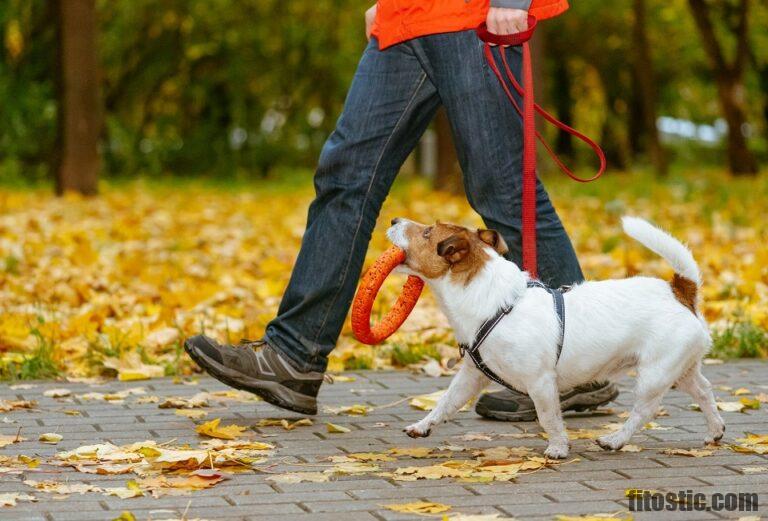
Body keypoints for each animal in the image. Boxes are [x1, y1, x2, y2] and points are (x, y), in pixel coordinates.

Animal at [390, 214, 728, 456]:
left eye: (426, 233)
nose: (393, 220)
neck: (493, 300)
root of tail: (680, 290)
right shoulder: (472, 375)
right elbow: (445, 403)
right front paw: (422, 426)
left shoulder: (540, 382)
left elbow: (548, 416)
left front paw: (557, 447)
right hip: (681, 370)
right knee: (705, 391)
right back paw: (714, 430)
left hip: (654, 374)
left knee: (644, 412)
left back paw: (615, 440)